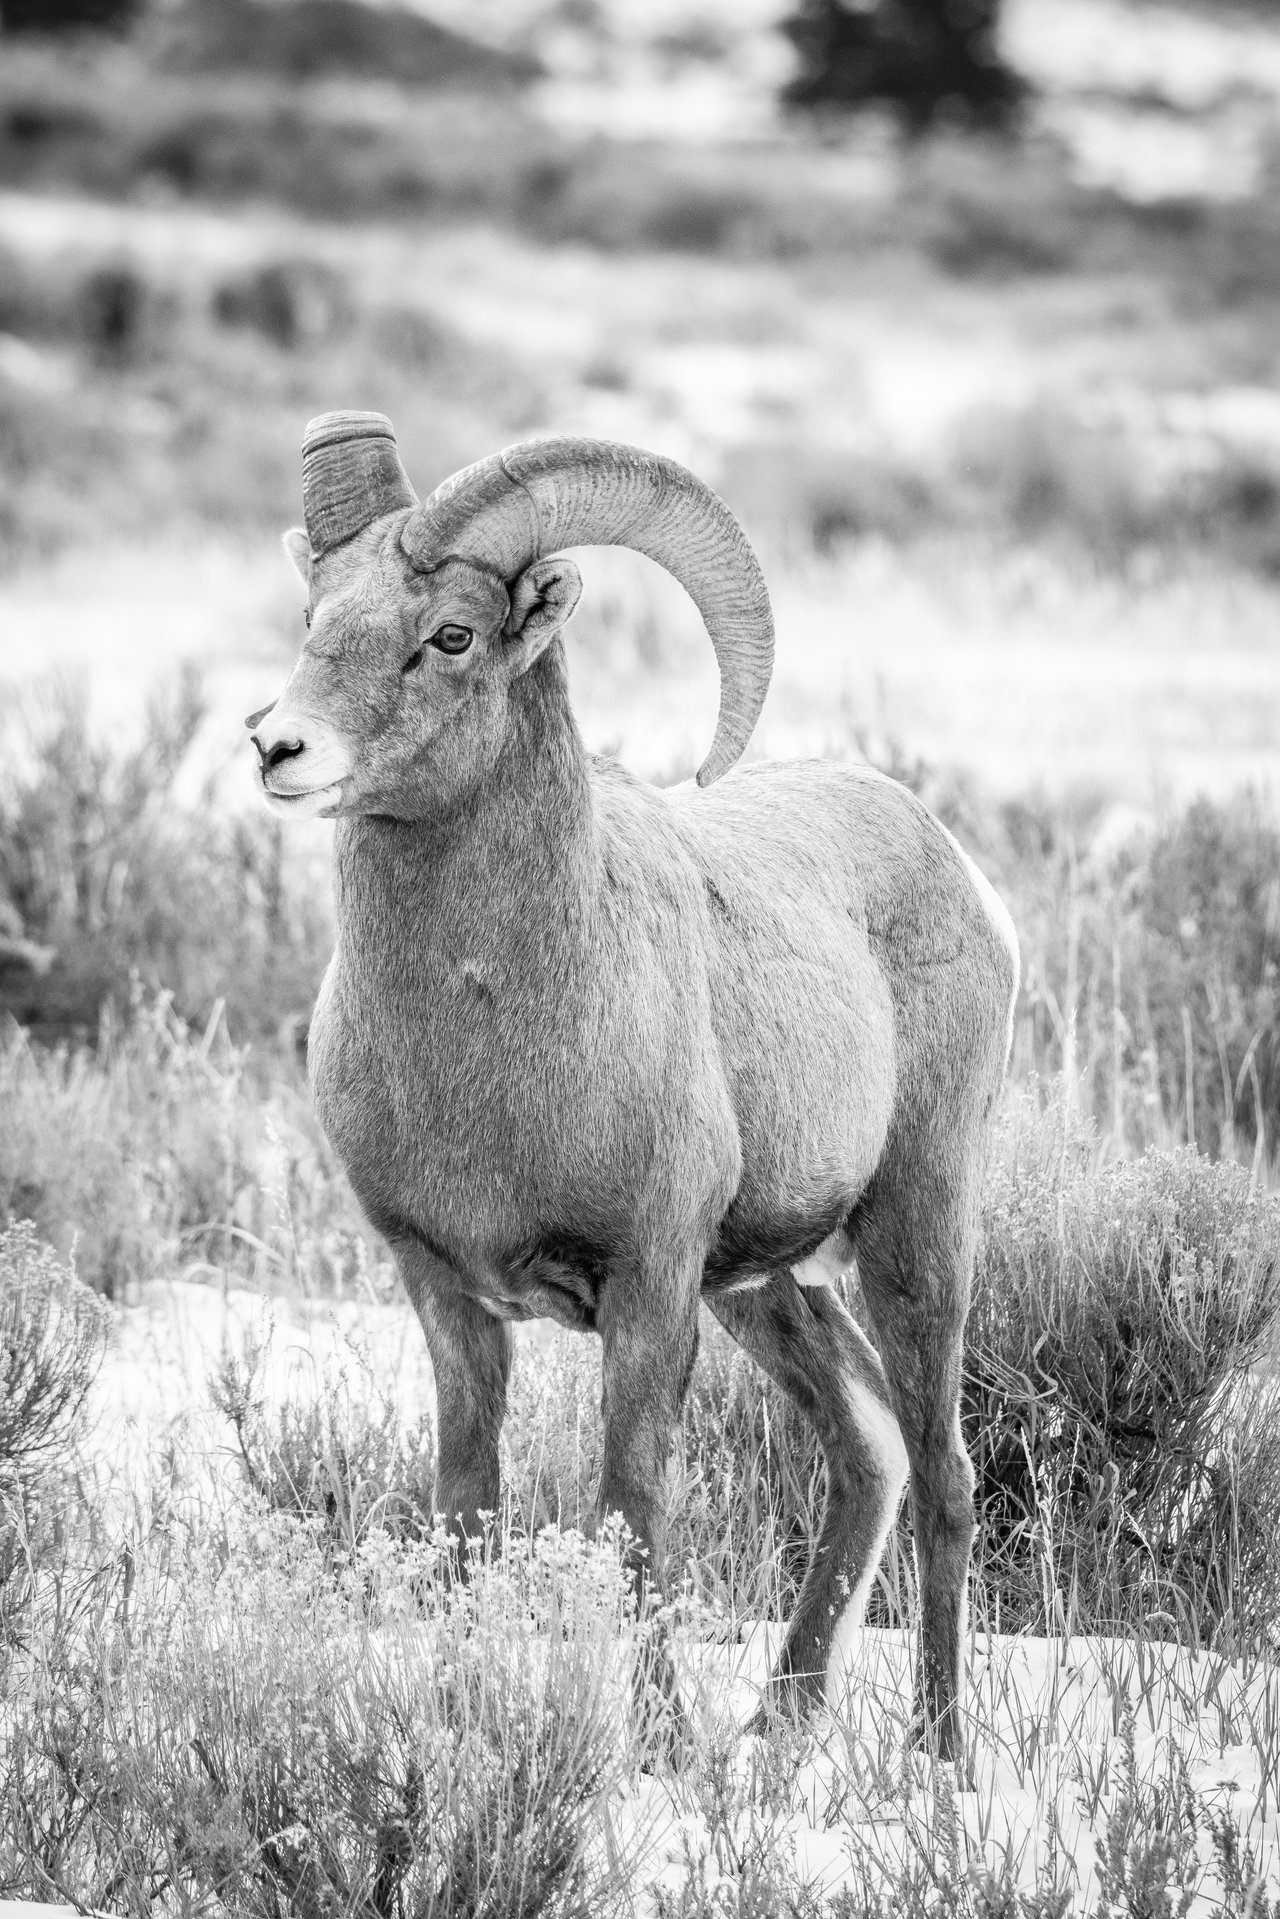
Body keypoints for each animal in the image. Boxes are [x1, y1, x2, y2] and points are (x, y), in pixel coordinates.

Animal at [247, 410, 1019, 1764]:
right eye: (315, 613)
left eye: (451, 633)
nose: (277, 748)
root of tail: (958, 870)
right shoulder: (446, 1295)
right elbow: (467, 1511)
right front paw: (464, 1710)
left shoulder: (649, 1285)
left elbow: (630, 1516)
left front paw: (656, 1745)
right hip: (768, 1288)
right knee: (868, 1449)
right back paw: (776, 1722)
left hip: (914, 1236)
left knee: (941, 1472)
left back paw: (935, 1751)